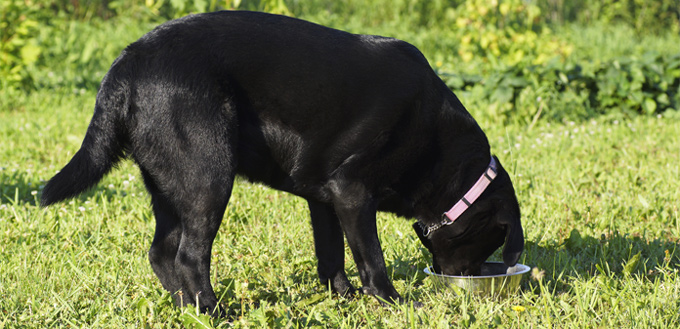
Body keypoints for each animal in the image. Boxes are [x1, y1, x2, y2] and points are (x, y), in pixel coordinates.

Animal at [41, 9, 520, 312]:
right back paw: (214, 312)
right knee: (188, 256)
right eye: (490, 241)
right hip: (208, 175)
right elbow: (372, 258)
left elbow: (331, 257)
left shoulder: (326, 199)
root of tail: (129, 59)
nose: (469, 278)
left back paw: (187, 309)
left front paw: (344, 299)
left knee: (161, 253)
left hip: (169, 184)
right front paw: (393, 302)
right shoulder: (352, 191)